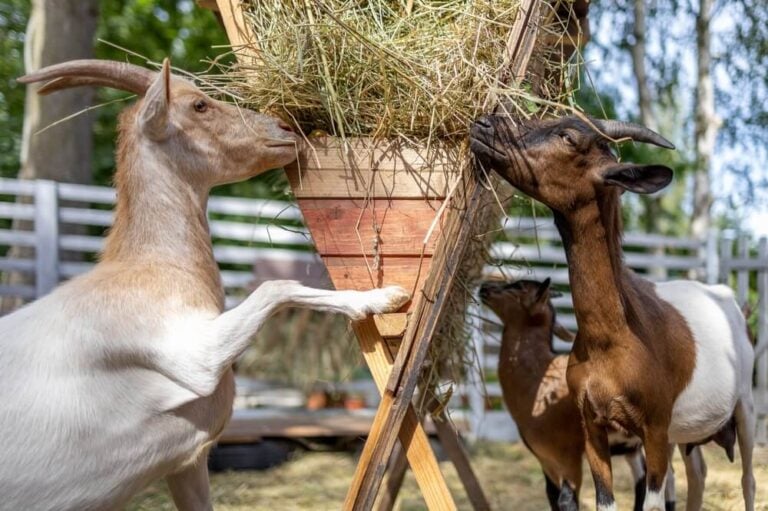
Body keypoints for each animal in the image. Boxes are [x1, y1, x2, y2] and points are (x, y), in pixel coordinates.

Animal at [0, 59, 410, 510]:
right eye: (199, 105)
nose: (284, 129)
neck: (151, 267)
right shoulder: (190, 356)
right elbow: (276, 286)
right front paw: (383, 297)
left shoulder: (185, 464)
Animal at [480, 277, 652, 511]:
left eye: (518, 287)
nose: (484, 287)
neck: (539, 382)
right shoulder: (546, 459)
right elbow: (552, 496)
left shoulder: (568, 456)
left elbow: (566, 499)